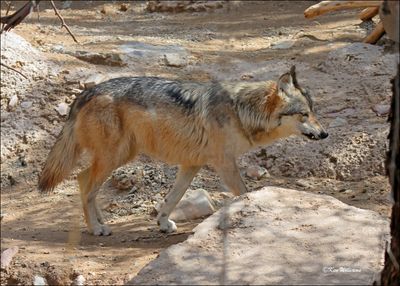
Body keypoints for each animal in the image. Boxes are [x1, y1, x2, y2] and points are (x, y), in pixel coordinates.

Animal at [39, 66, 328, 236]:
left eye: (313, 112)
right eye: (304, 114)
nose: (325, 133)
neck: (240, 110)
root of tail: (86, 93)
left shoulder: (192, 164)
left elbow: (172, 198)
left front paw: (163, 224)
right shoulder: (224, 163)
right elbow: (244, 193)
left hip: (121, 156)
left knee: (82, 179)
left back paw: (100, 224)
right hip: (114, 157)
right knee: (87, 185)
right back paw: (96, 228)